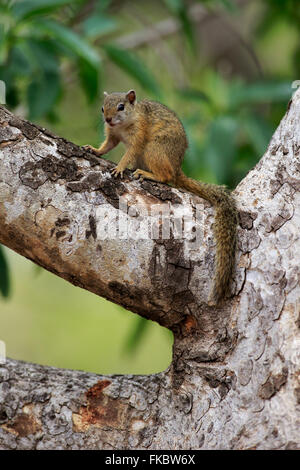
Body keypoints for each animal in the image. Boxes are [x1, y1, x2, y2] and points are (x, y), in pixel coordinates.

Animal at [84, 89, 237, 306]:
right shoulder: (112, 135)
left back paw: (148, 174)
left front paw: (120, 167)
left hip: (154, 149)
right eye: (102, 107)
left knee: (166, 176)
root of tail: (177, 168)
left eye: (121, 106)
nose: (108, 119)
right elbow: (107, 146)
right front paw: (94, 150)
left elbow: (129, 153)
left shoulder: (139, 136)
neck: (124, 124)